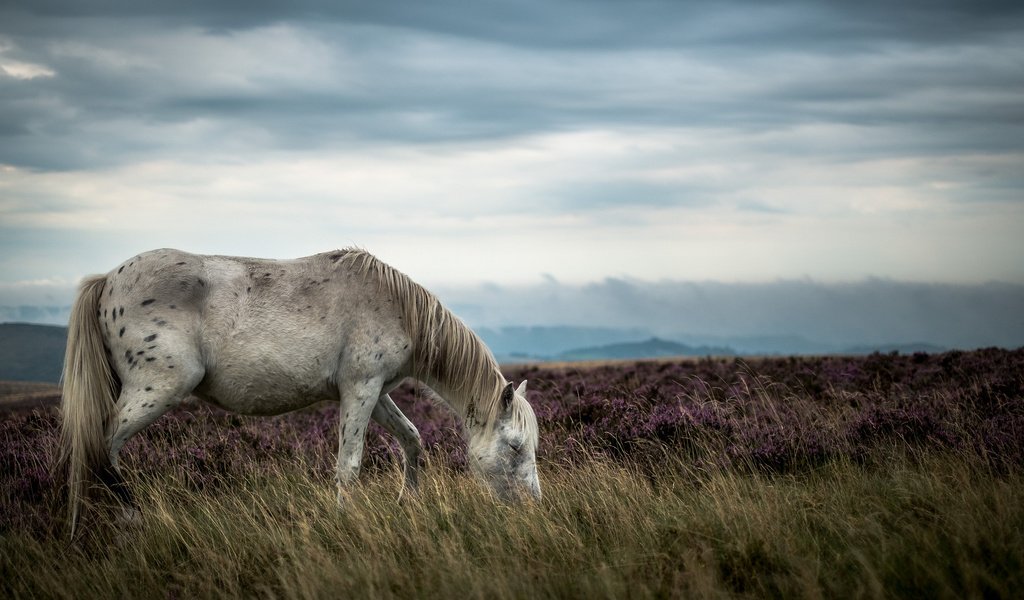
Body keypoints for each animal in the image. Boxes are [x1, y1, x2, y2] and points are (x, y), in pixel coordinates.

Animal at [61, 247, 544, 532]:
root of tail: (107, 281)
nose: (534, 507)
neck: (397, 307)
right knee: (102, 448)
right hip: (156, 389)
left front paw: (407, 502)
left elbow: (412, 439)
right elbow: (349, 464)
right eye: (516, 447)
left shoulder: (375, 393)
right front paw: (345, 519)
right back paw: (132, 521)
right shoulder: (361, 390)